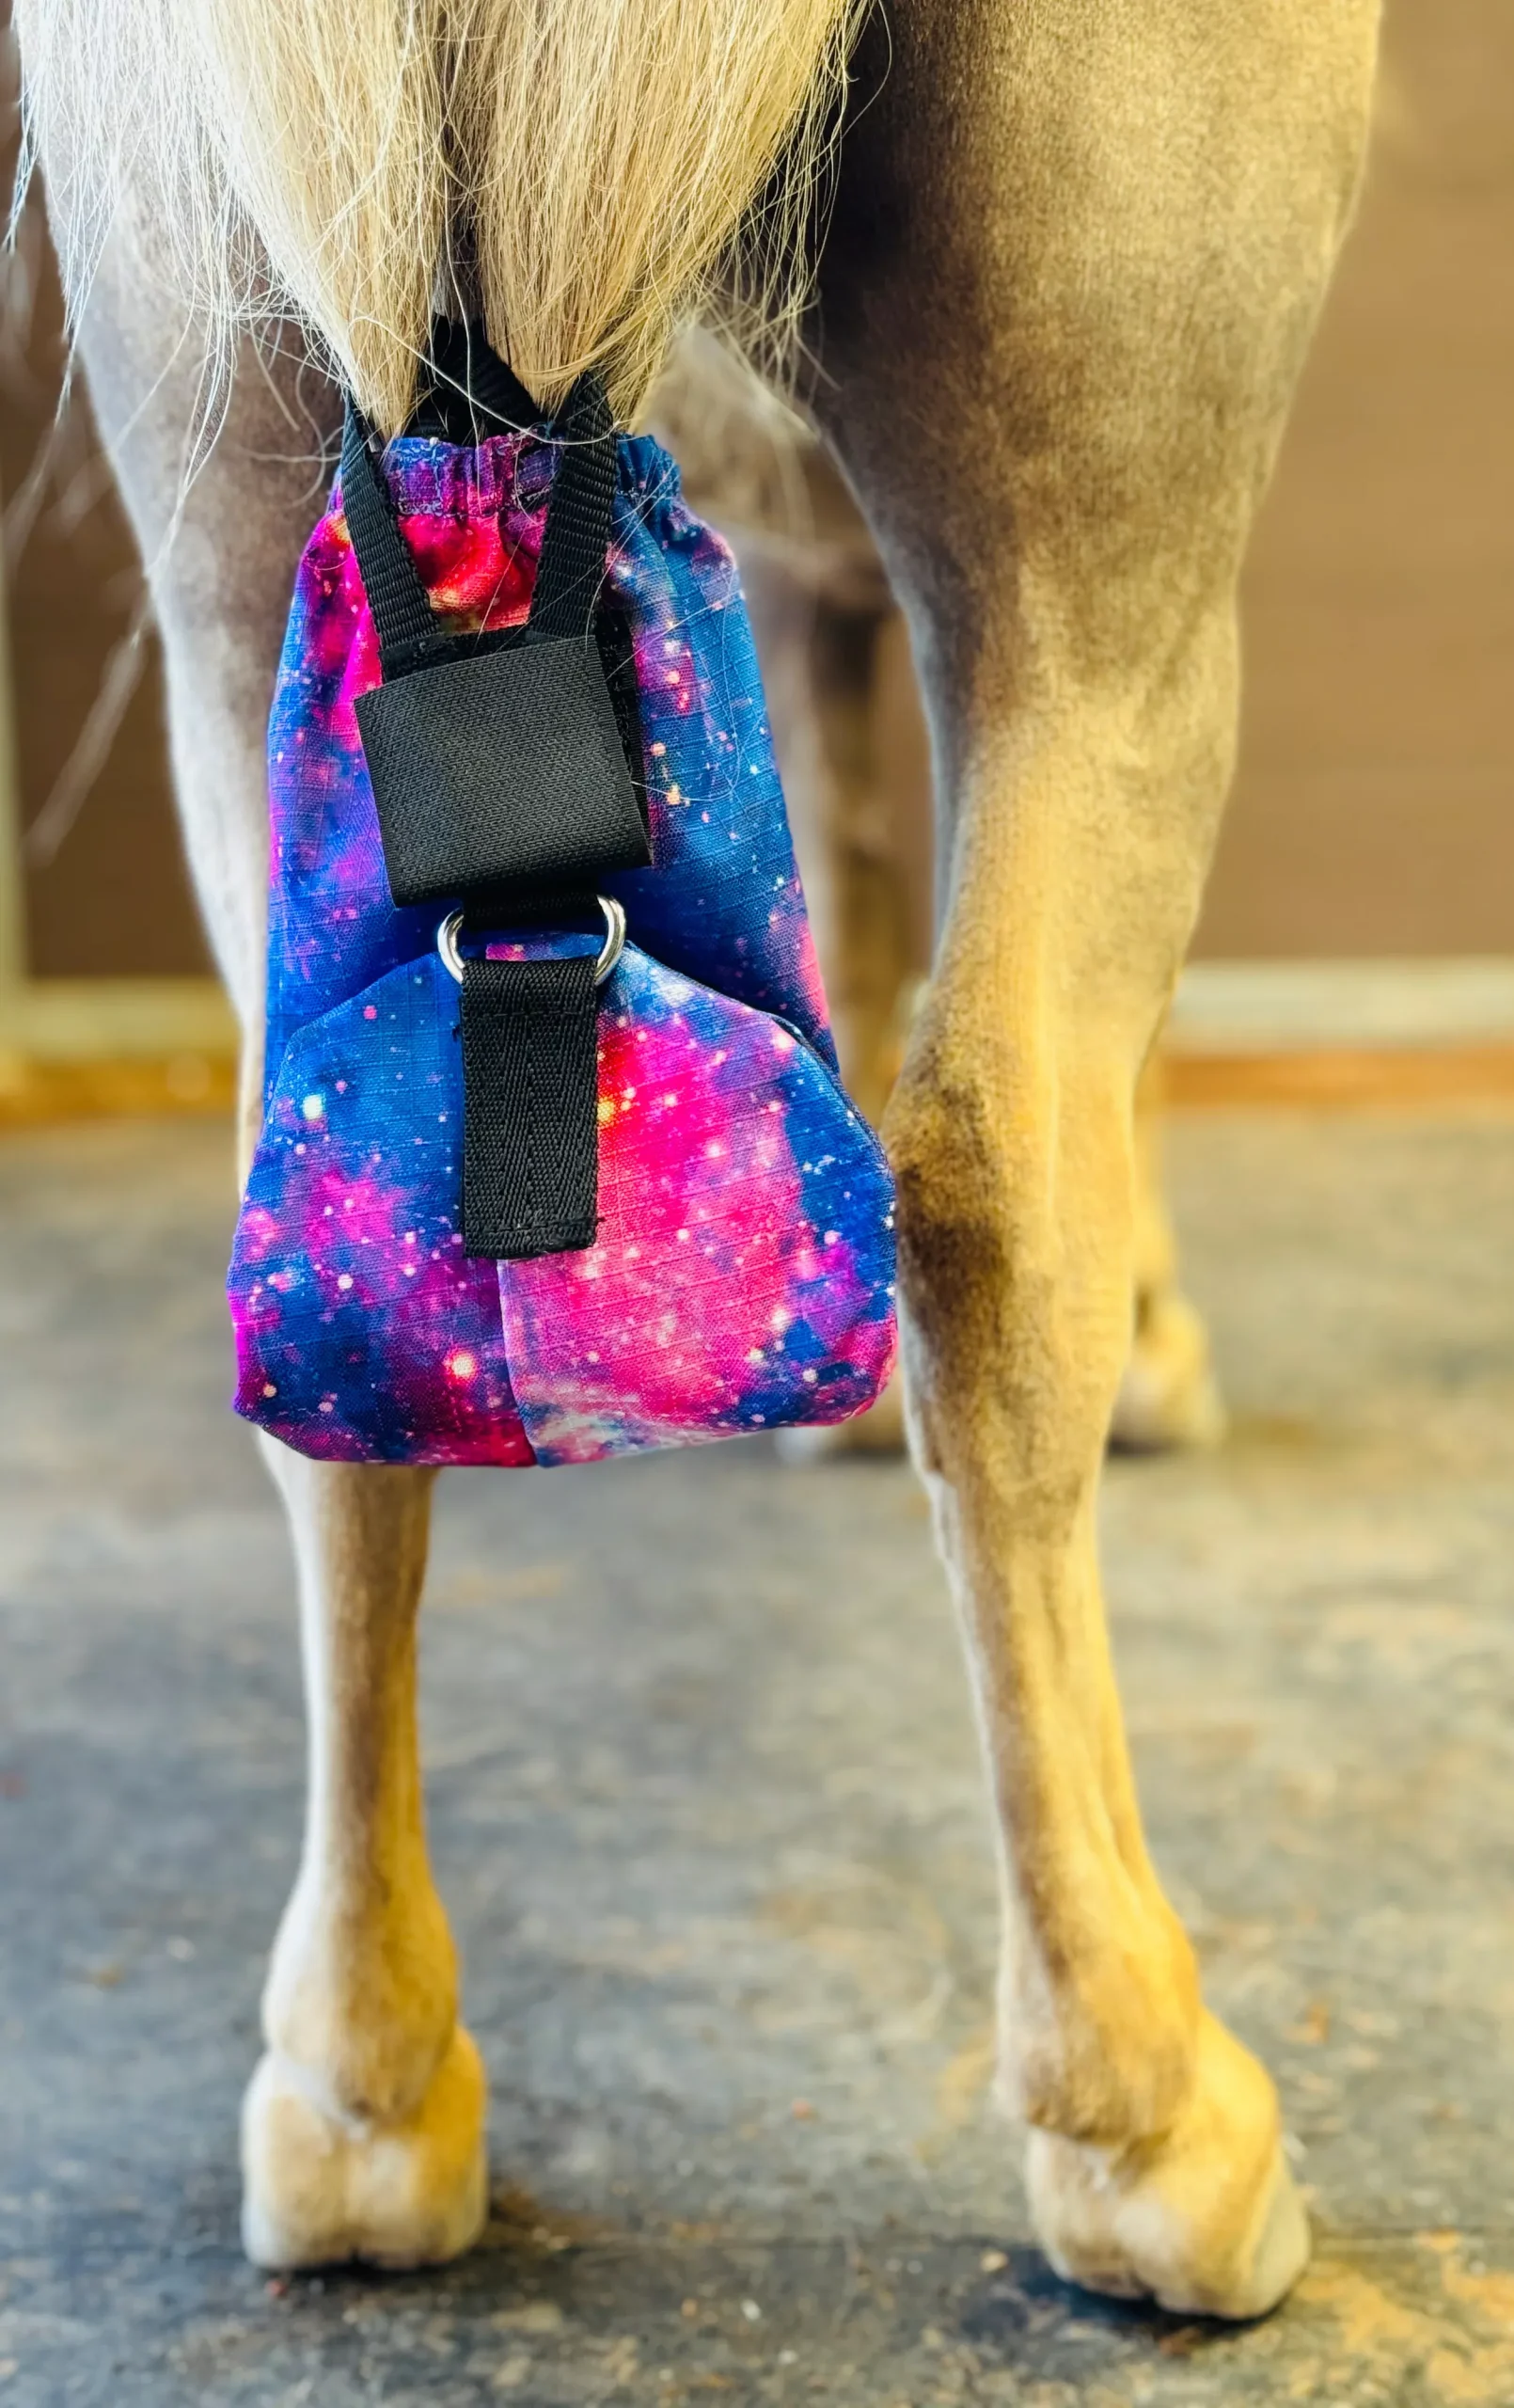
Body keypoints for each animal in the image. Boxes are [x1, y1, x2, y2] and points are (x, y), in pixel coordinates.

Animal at [12, 0, 1381, 2318]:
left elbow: (832, 805)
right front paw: (1159, 1336)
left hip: (218, 438)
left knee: (316, 1330)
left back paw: (364, 2092)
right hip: (1110, 515)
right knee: (998, 1187)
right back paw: (1143, 2108)